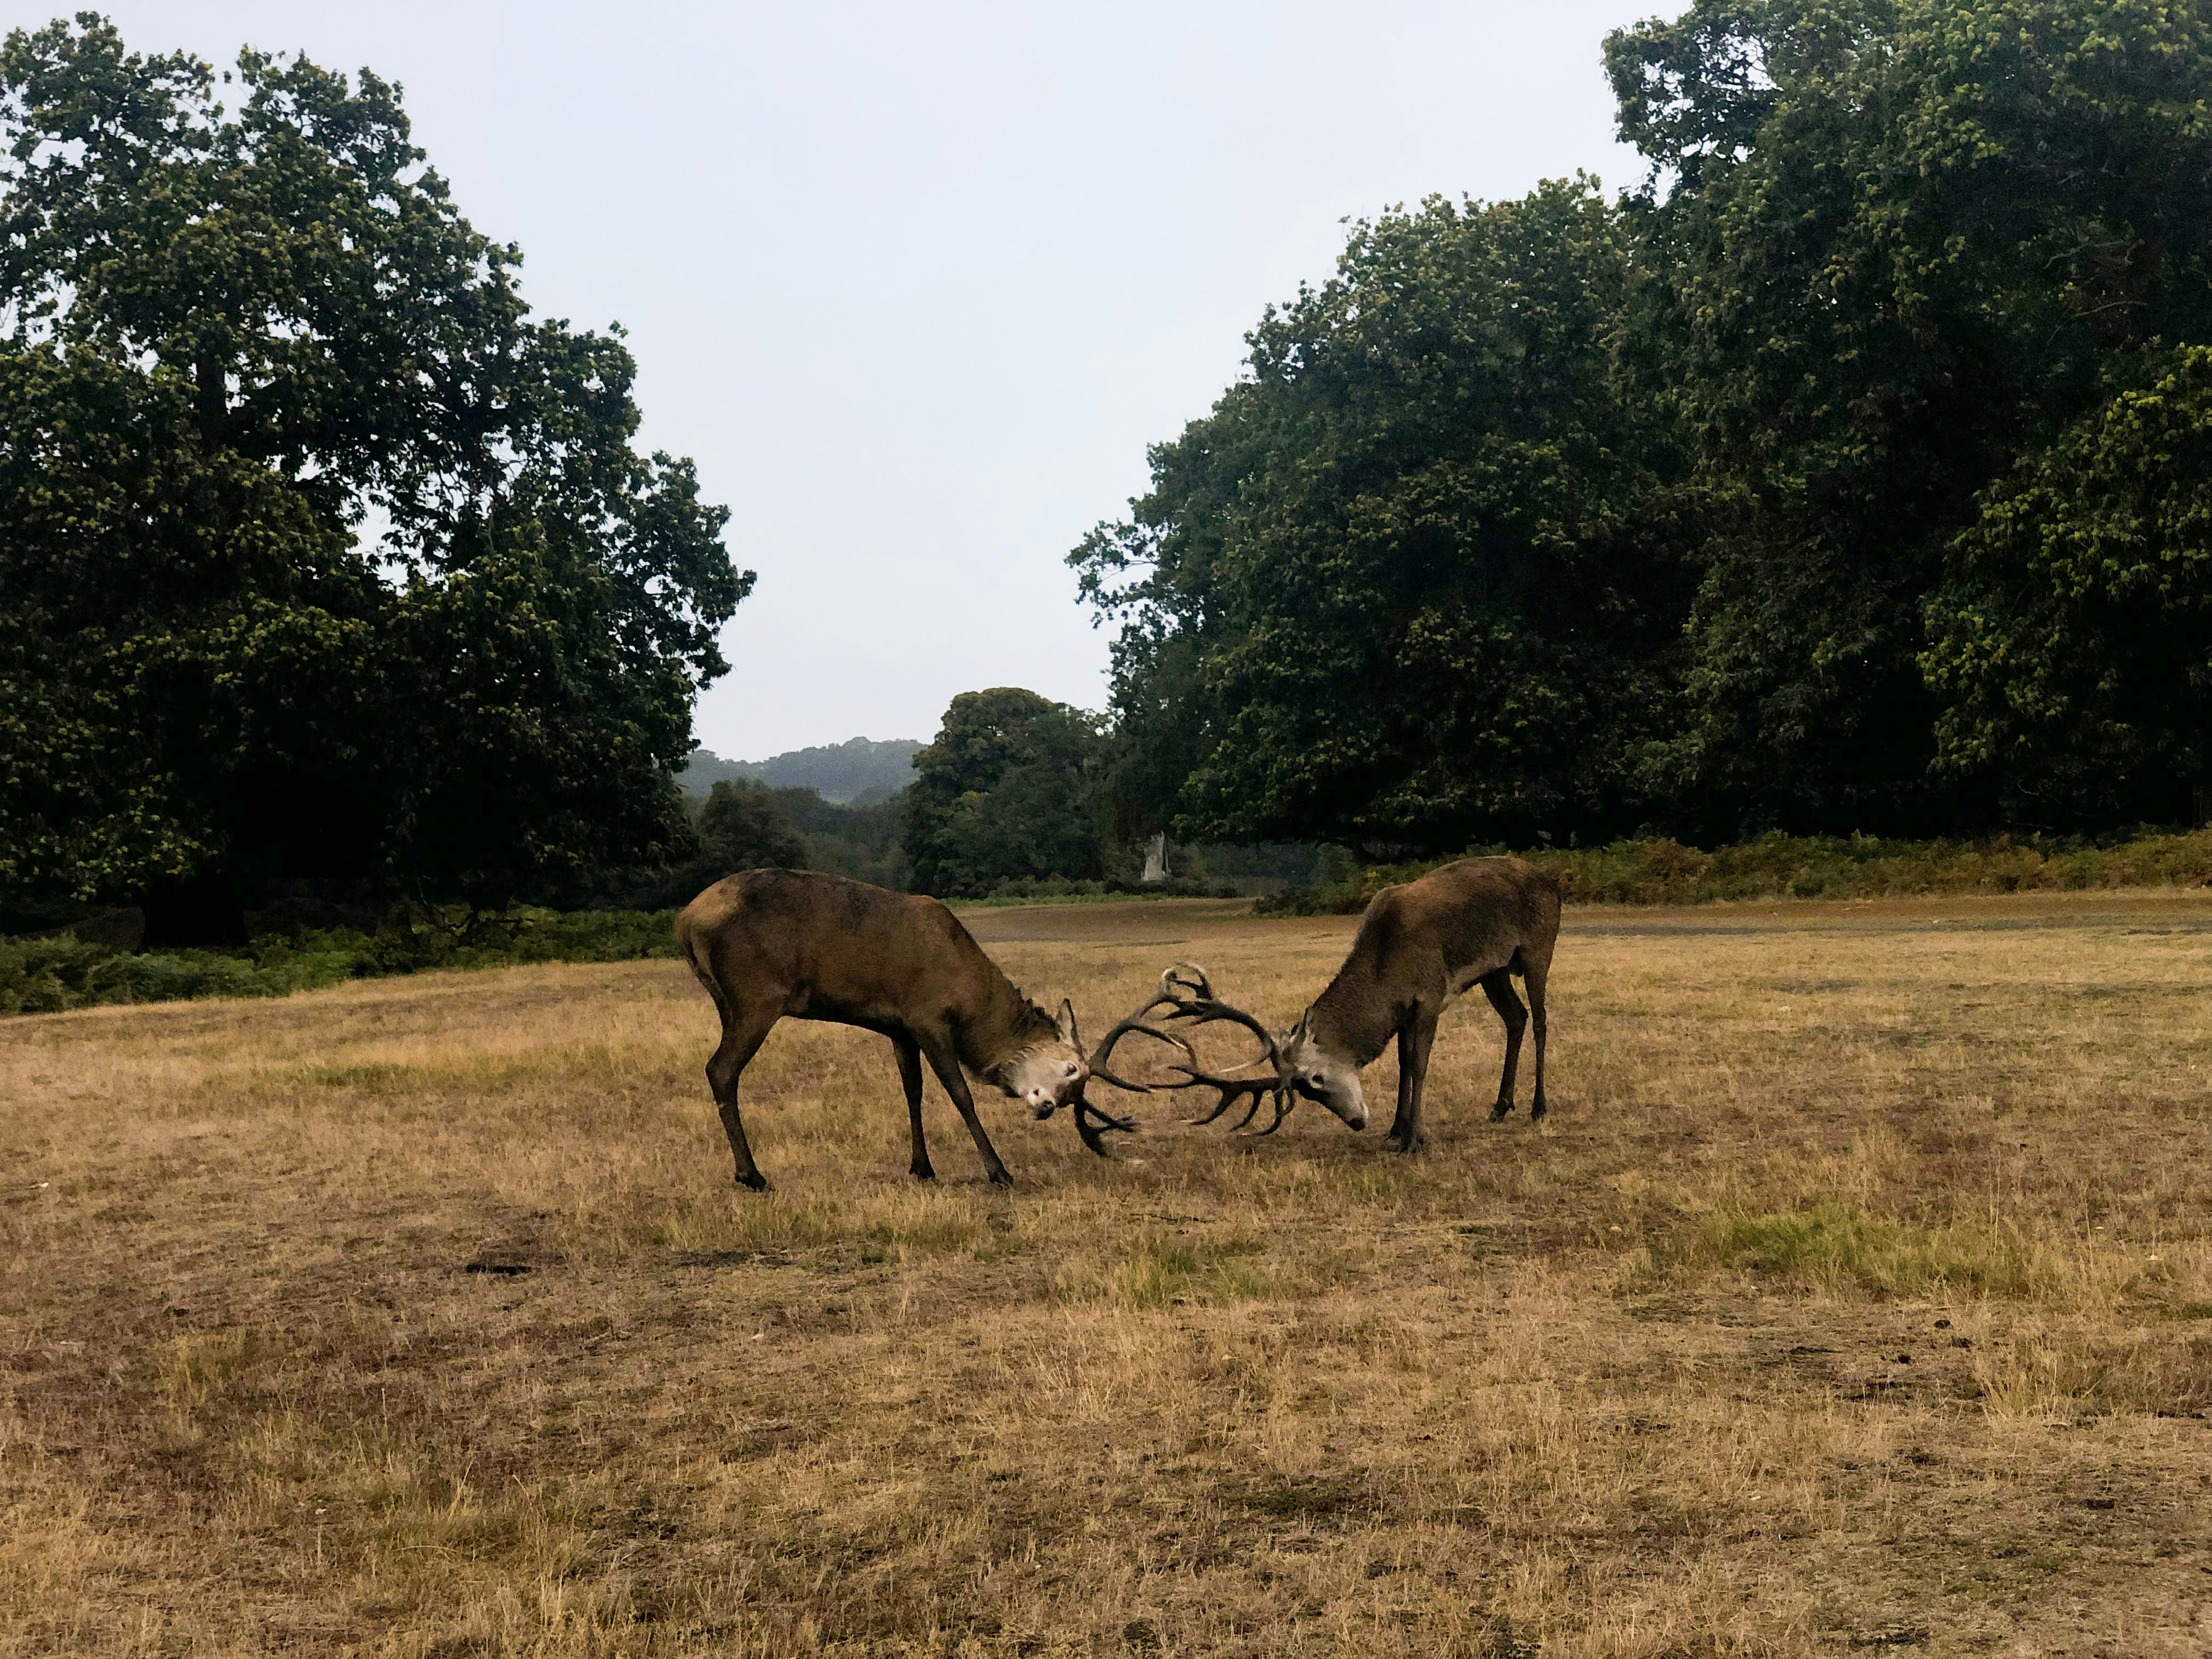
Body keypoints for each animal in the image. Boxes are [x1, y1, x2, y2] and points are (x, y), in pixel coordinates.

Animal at [675, 869, 1135, 1189]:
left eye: (1074, 1094)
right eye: (1071, 1070)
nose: (1047, 1107)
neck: (971, 995)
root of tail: (686, 920)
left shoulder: (899, 1029)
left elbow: (912, 1091)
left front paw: (922, 1167)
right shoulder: (927, 1016)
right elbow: (960, 1093)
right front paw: (999, 1170)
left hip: (725, 1001)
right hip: (756, 996)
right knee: (720, 1069)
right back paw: (751, 1175)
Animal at [1097, 857, 1560, 1151]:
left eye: (1315, 1079)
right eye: (1306, 1091)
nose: (1357, 1122)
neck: (1388, 968)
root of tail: (1551, 881)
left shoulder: (1429, 996)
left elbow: (1419, 1065)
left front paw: (1414, 1139)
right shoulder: (1405, 1010)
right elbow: (1403, 1064)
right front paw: (1395, 1130)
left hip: (1539, 947)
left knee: (1540, 1020)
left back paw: (1538, 1108)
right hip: (1495, 971)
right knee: (1516, 1018)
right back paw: (1500, 1106)